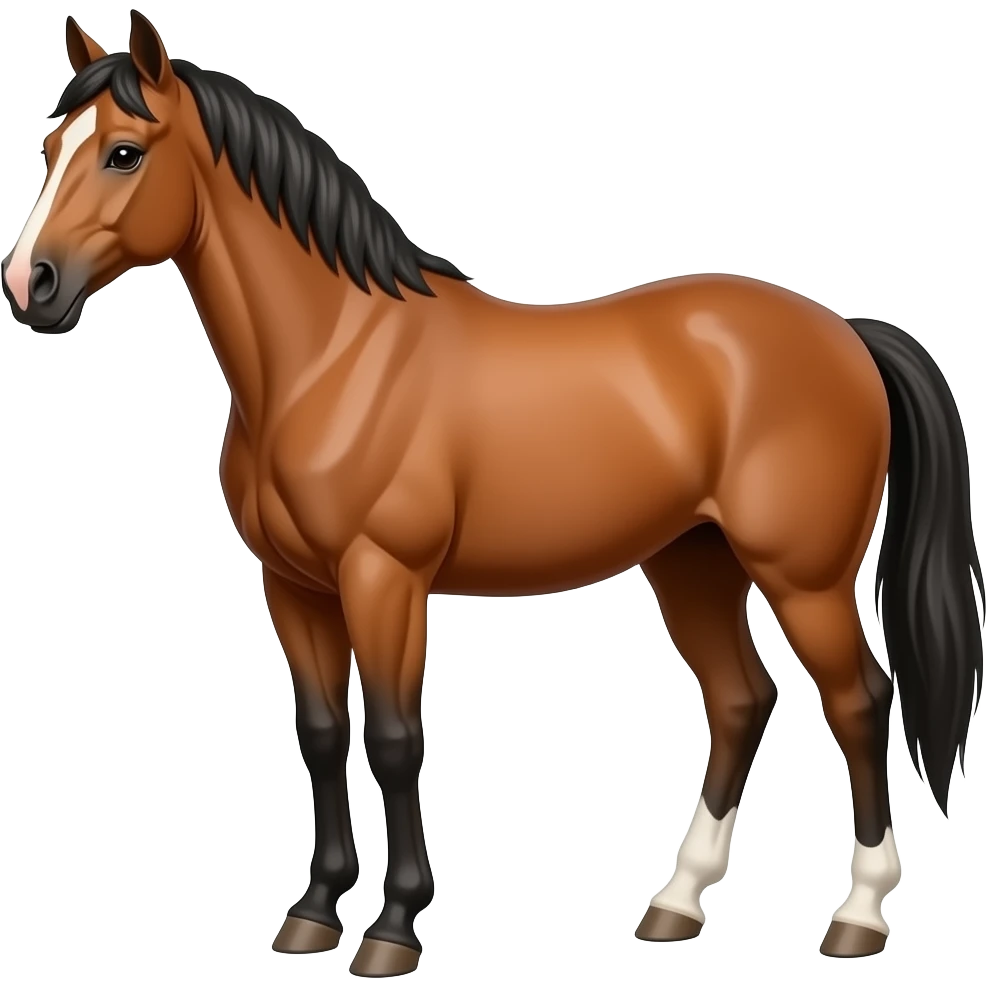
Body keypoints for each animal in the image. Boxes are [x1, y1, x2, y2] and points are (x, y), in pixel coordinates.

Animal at [3, 12, 983, 976]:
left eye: (123, 152)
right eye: (49, 149)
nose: (28, 284)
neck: (333, 357)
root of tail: (843, 333)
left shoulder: (384, 579)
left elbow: (395, 741)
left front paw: (393, 927)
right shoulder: (294, 587)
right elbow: (322, 734)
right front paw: (314, 915)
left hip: (803, 577)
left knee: (861, 704)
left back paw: (857, 918)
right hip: (692, 564)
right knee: (741, 701)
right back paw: (675, 904)